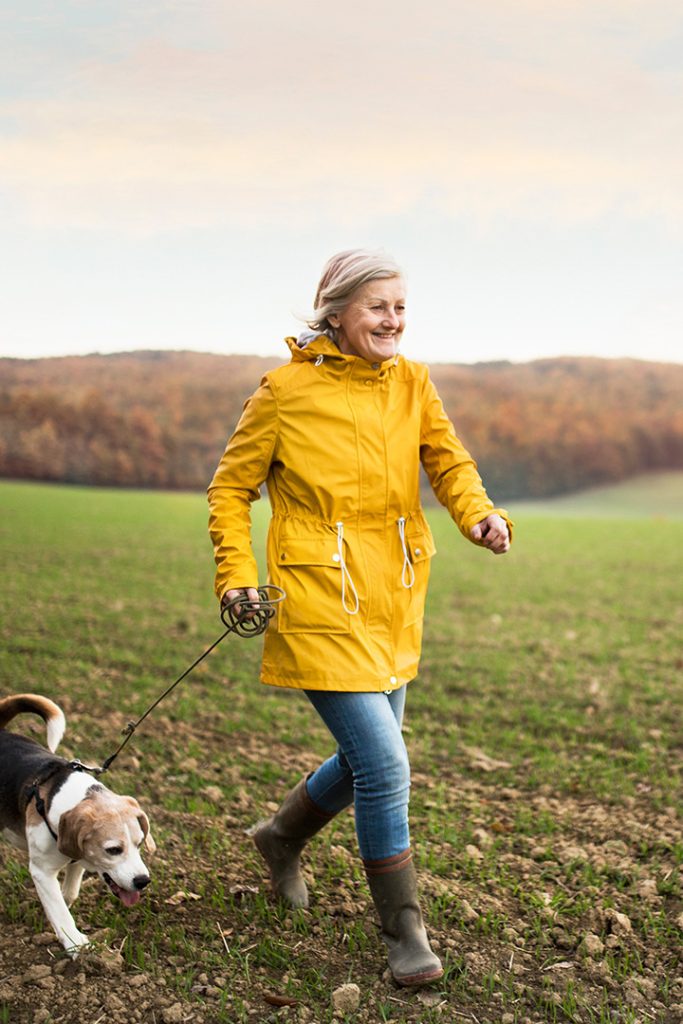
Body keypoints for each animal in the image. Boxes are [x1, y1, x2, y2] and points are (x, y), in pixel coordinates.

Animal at [0, 692, 156, 954]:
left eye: (139, 844)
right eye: (113, 850)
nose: (143, 881)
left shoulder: (77, 859)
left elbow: (68, 894)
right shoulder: (42, 871)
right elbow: (60, 910)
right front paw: (76, 944)